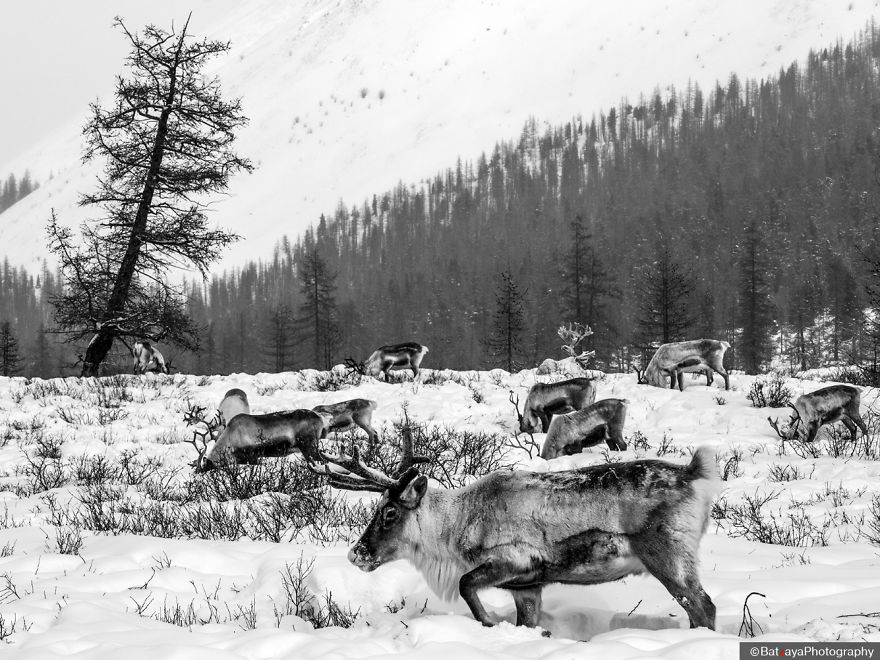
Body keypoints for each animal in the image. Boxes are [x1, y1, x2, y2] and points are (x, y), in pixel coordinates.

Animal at [311, 440, 720, 632]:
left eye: (389, 512)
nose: (357, 553)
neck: (456, 524)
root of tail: (694, 473)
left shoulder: (515, 561)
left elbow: (465, 585)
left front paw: (490, 623)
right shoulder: (528, 587)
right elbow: (528, 621)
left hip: (669, 558)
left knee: (704, 607)